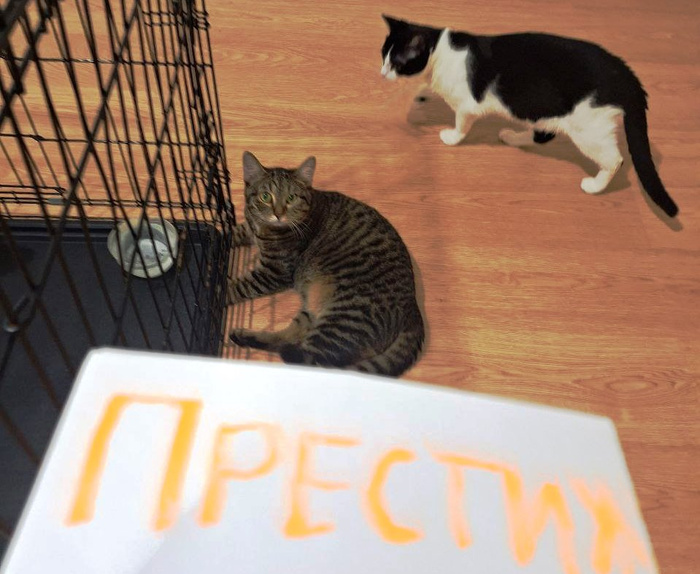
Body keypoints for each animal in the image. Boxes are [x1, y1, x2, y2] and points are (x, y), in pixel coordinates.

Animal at [227, 151, 425, 377]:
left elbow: (236, 286)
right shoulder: (249, 229)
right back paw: (244, 337)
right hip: (314, 307)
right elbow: (231, 232)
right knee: (292, 336)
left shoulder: (274, 272)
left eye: (291, 198)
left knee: (309, 359)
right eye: (265, 197)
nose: (278, 214)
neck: (263, 229)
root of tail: (413, 306)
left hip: (344, 317)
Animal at [380, 15, 679, 217]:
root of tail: (627, 77)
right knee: (543, 134)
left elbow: (461, 123)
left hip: (587, 128)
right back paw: (511, 136)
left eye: (396, 63)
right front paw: (422, 95)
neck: (441, 53)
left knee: (613, 159)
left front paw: (451, 137)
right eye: (383, 55)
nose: (382, 73)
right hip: (547, 112)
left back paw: (594, 185)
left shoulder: (467, 105)